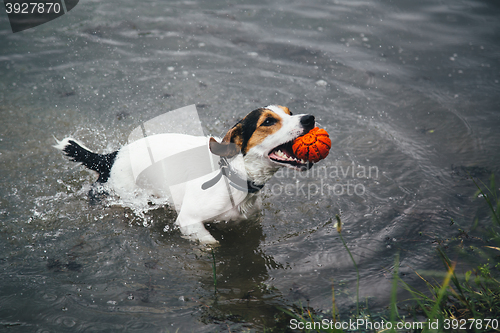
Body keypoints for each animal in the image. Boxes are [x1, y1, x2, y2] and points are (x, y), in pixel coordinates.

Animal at [54, 105, 318, 244]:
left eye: (289, 112)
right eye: (268, 121)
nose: (309, 118)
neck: (232, 174)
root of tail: (110, 157)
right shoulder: (189, 222)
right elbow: (212, 245)